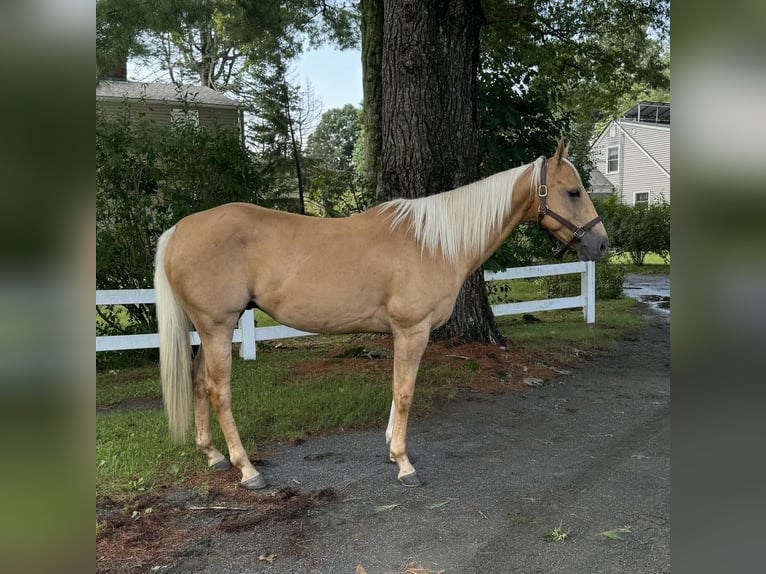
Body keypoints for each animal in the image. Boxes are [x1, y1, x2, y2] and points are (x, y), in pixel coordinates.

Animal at [156, 140, 608, 490]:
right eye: (573, 192)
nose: (602, 246)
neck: (434, 242)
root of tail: (179, 230)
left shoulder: (401, 333)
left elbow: (396, 390)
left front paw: (392, 450)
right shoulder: (413, 330)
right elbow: (405, 393)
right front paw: (405, 464)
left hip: (208, 330)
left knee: (198, 382)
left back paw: (213, 455)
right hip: (218, 327)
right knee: (219, 391)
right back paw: (247, 470)